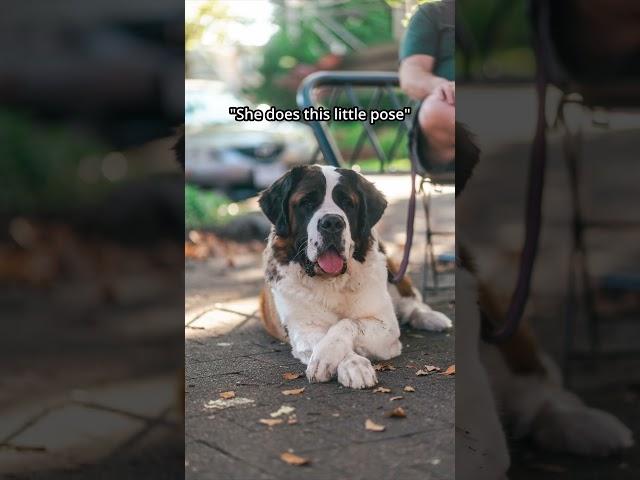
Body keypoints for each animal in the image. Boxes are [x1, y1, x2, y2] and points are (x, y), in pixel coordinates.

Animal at [255, 163, 450, 388]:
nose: (332, 222)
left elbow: (347, 324)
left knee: (411, 303)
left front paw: (330, 357)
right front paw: (352, 364)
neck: (332, 282)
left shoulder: (386, 326)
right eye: (307, 202)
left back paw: (432, 318)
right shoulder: (303, 329)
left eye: (347, 203)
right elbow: (325, 337)